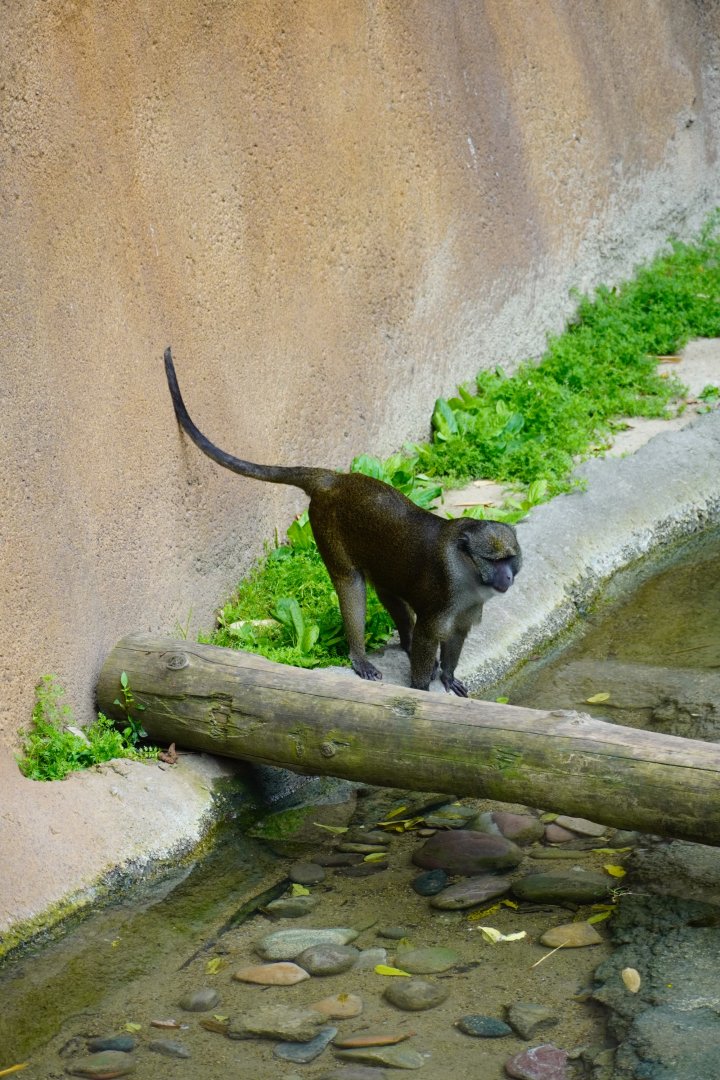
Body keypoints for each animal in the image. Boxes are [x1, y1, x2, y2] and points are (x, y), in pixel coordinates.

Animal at [164, 347, 521, 696]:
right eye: (493, 560)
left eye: (511, 559)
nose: (507, 577)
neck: (468, 572)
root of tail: (334, 480)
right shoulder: (443, 602)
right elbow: (426, 637)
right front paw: (421, 691)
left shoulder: (467, 611)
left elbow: (456, 638)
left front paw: (448, 676)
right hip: (326, 530)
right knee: (351, 586)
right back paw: (360, 656)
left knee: (387, 591)